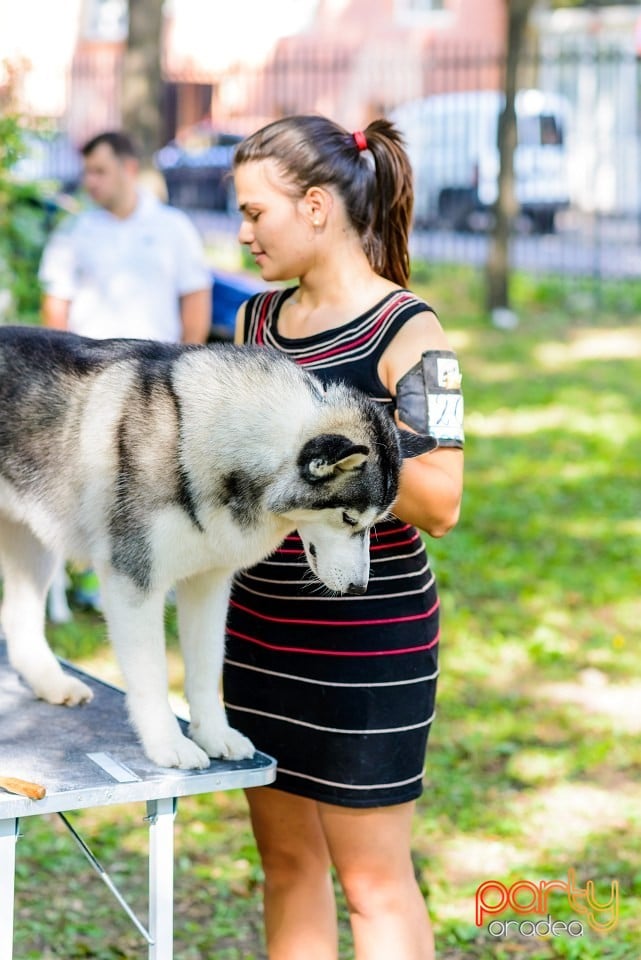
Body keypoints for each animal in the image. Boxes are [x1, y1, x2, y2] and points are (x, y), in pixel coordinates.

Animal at [0, 326, 432, 768]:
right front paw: (167, 744)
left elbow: (206, 668)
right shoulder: (133, 582)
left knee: (18, 619)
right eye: (348, 518)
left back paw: (50, 683)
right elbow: (152, 676)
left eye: (375, 523)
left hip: (36, 547)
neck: (194, 437)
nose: (360, 589)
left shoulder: (208, 583)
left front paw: (213, 734)